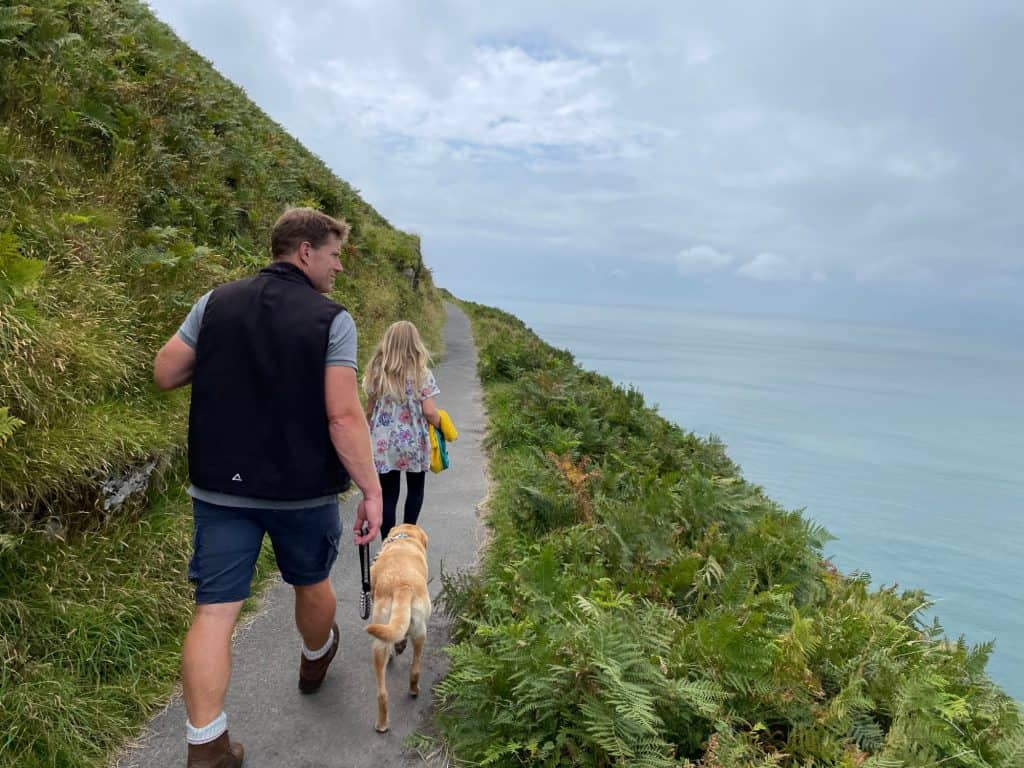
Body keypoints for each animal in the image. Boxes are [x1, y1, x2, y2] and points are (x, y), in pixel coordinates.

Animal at [366, 524, 430, 733]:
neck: (404, 538)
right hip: (420, 634)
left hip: (379, 644)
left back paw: (382, 725)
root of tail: (403, 587)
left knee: (382, 693)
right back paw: (414, 690)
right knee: (415, 670)